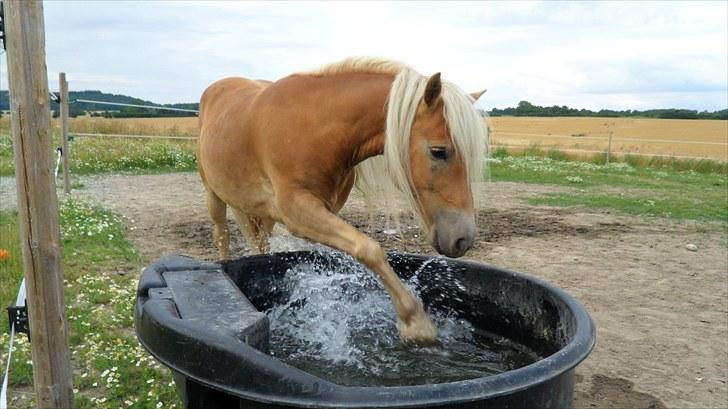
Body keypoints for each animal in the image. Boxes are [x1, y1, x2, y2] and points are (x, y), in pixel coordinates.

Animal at [196, 58, 486, 344]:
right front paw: (416, 323)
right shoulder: (296, 211)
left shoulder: (325, 210)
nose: (463, 238)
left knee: (260, 243)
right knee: (222, 235)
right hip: (214, 195)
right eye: (438, 151)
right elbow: (369, 249)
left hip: (260, 210)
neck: (314, 127)